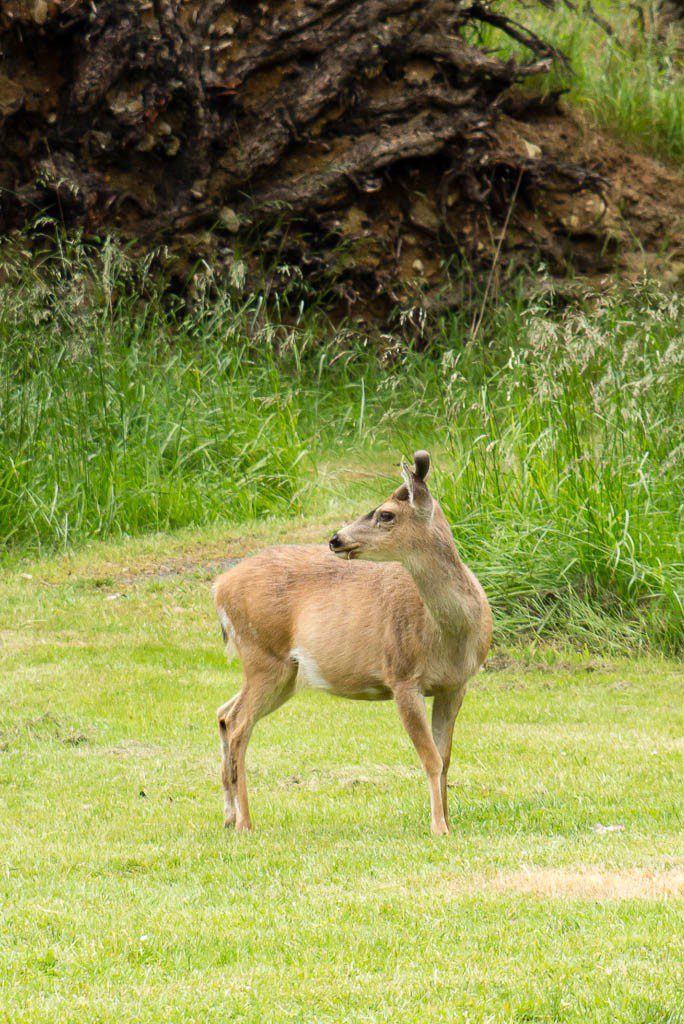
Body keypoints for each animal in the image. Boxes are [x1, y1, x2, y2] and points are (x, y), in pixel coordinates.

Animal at [214, 452, 491, 835]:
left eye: (385, 514)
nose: (335, 539)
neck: (448, 635)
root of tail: (218, 586)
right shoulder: (402, 676)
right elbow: (431, 759)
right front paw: (439, 827)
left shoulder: (456, 684)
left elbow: (446, 757)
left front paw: (448, 820)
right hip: (262, 654)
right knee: (240, 726)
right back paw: (245, 822)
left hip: (284, 672)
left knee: (225, 714)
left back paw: (228, 816)